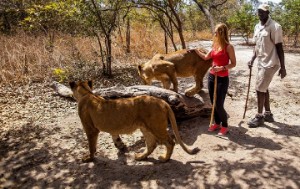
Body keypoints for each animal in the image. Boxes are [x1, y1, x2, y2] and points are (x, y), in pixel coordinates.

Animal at [69, 79, 198, 162]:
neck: (87, 93)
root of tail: (162, 101)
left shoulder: (91, 129)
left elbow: (91, 146)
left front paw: (88, 158)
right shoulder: (112, 127)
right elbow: (115, 136)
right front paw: (121, 146)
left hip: (156, 127)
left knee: (170, 142)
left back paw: (164, 159)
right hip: (145, 128)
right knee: (152, 144)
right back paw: (141, 157)